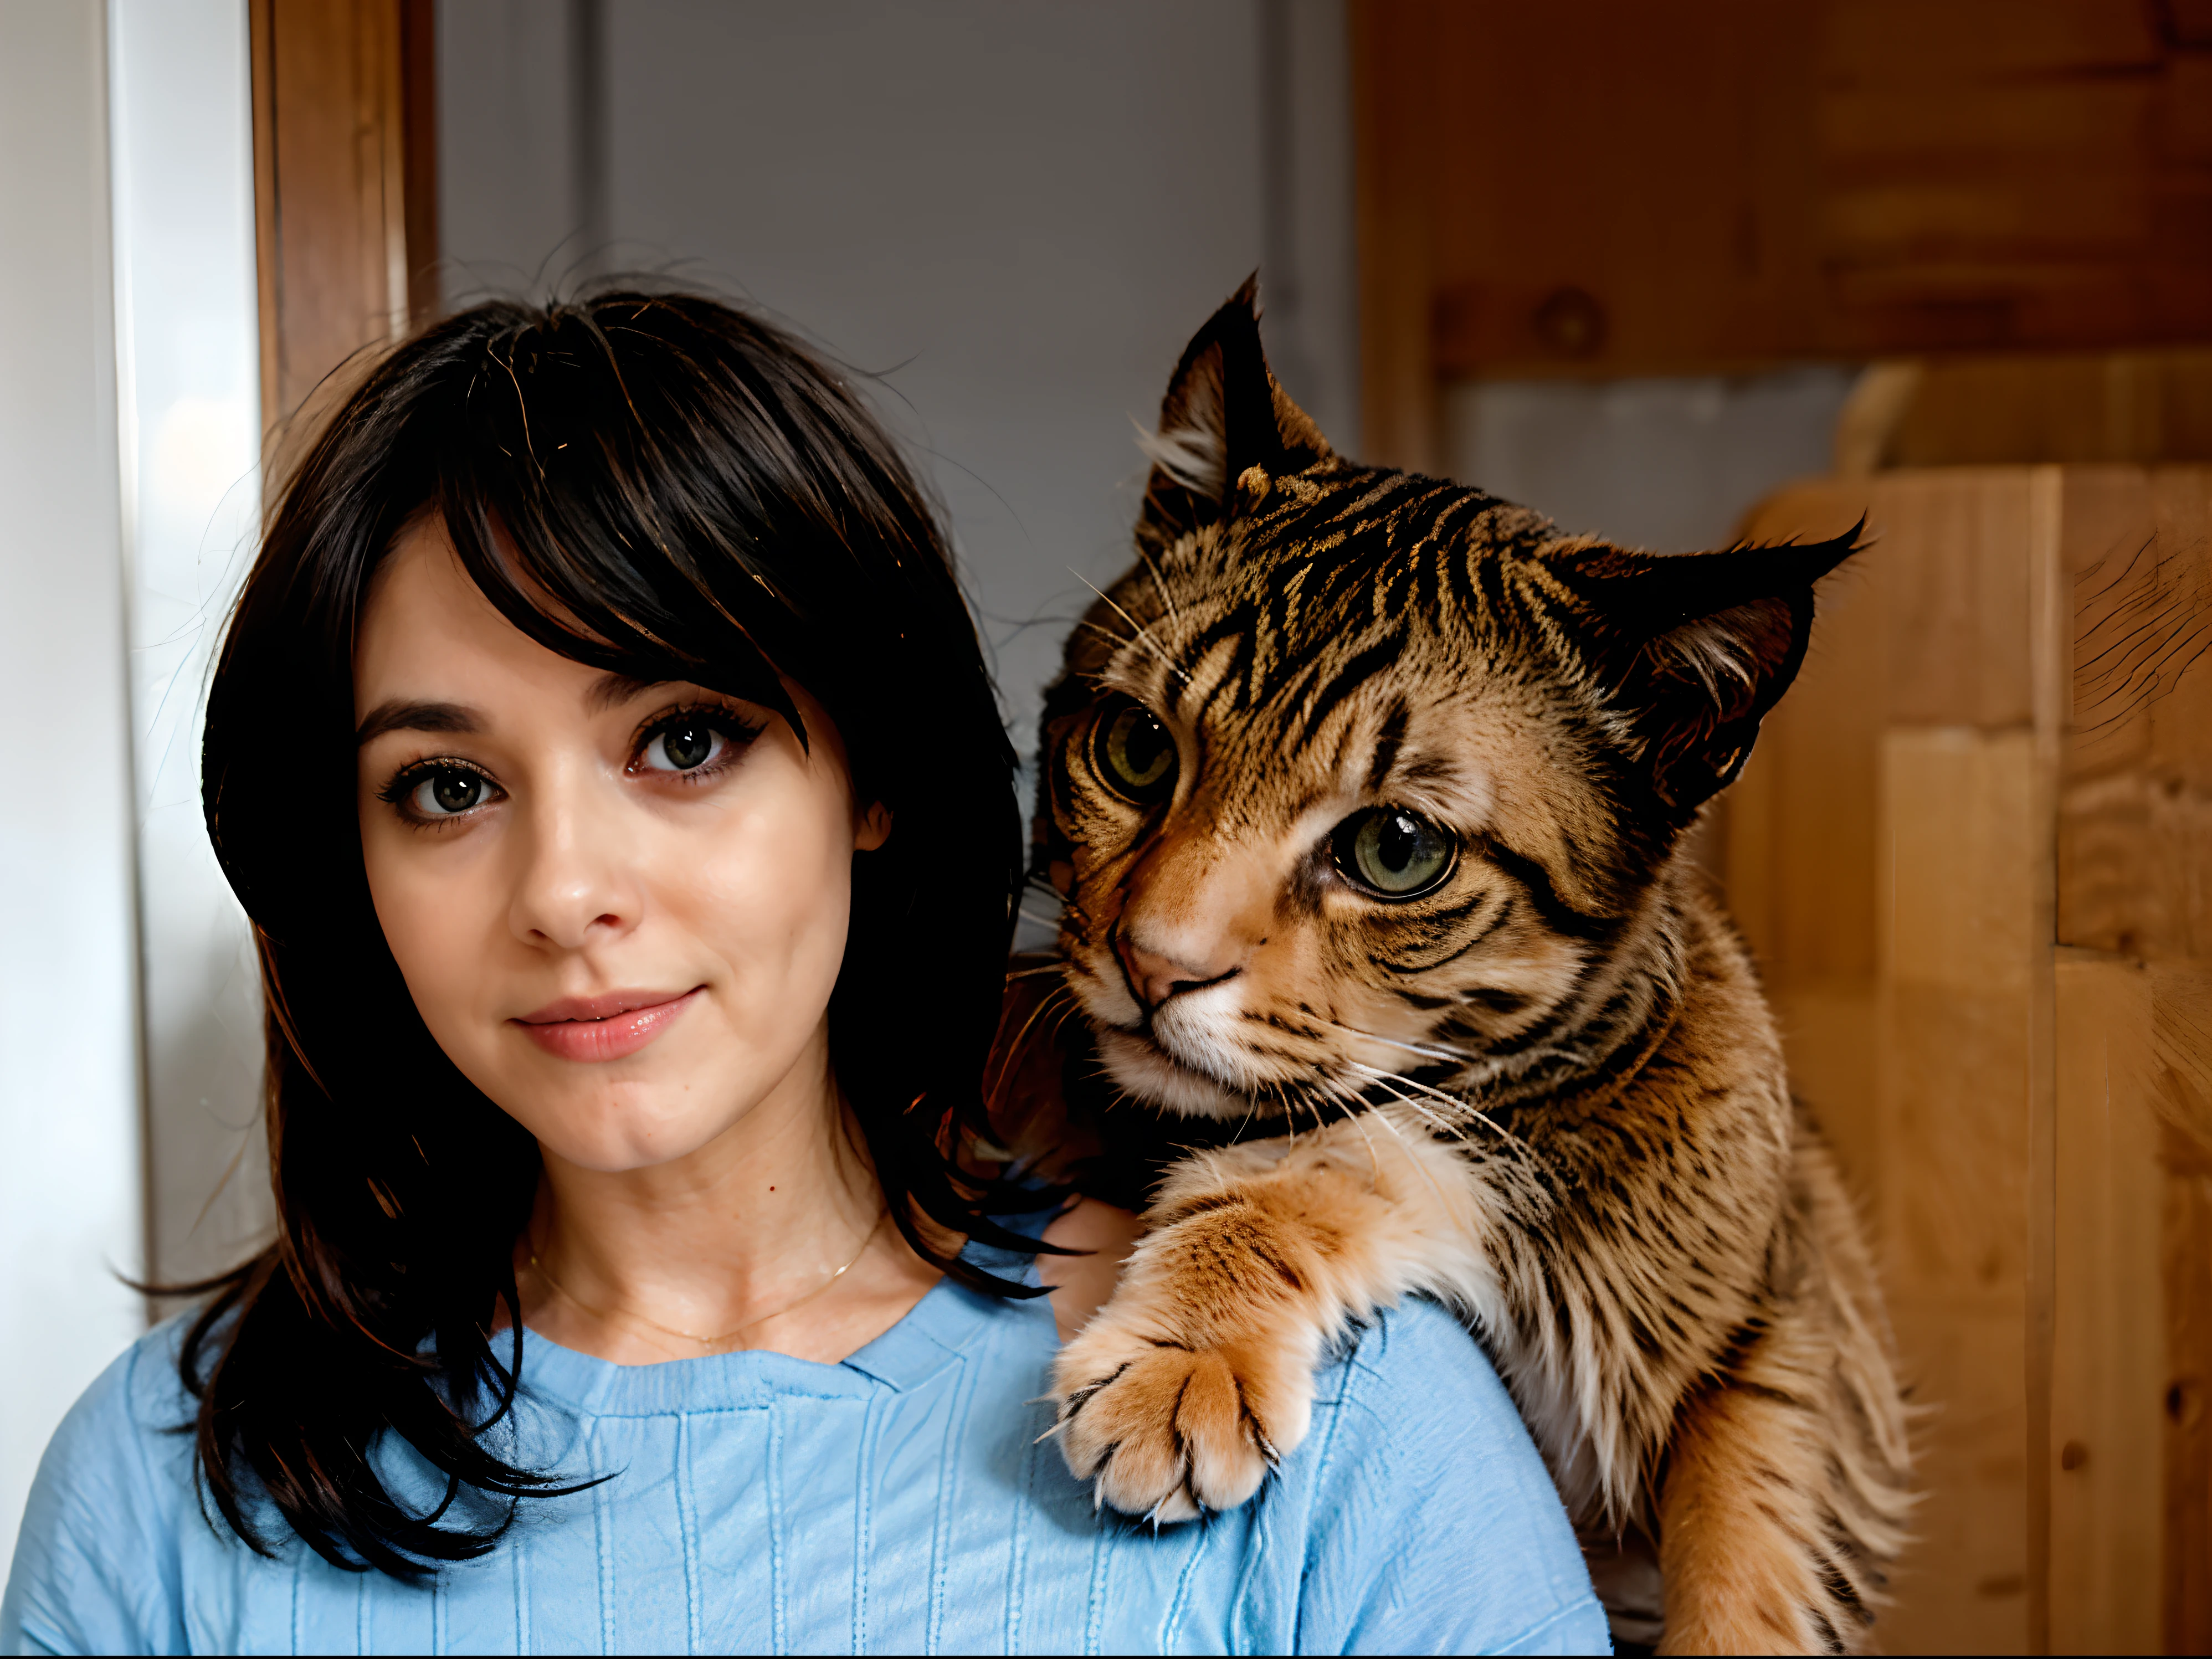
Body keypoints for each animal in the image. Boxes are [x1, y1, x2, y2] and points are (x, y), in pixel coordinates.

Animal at [1013, 285, 1911, 1655]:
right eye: (1133, 750)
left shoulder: (1798, 1330)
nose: (1152, 964)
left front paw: (1184, 1349)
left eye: (1395, 850)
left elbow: (1745, 1547)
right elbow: (1333, 1155)